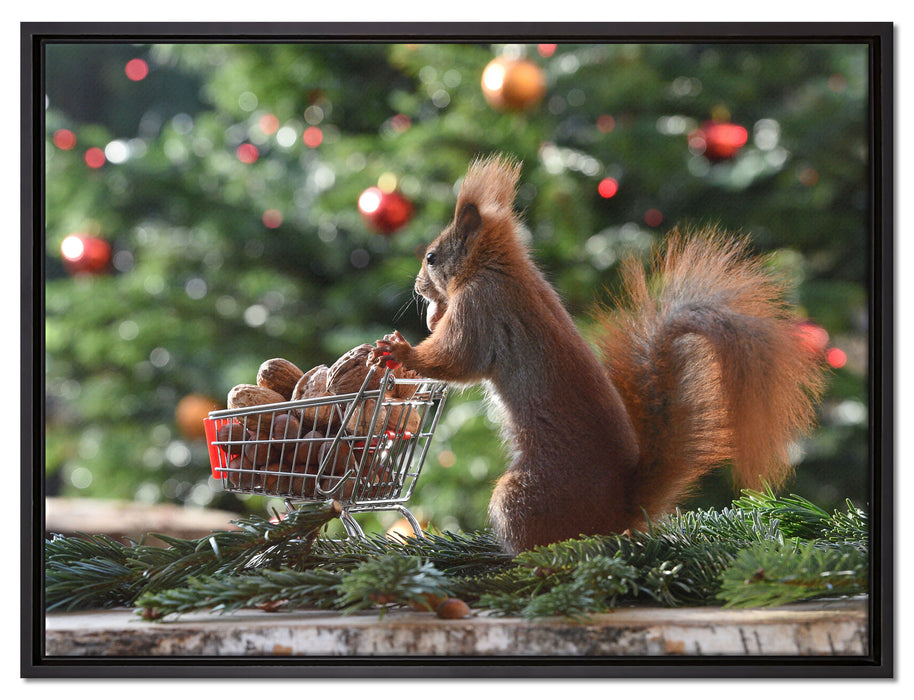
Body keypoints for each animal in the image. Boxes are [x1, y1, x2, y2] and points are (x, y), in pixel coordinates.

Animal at [370, 154, 827, 554]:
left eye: (431, 257)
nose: (418, 288)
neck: (500, 268)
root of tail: (620, 512)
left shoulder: (482, 308)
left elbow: (457, 358)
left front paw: (402, 350)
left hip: (521, 496)